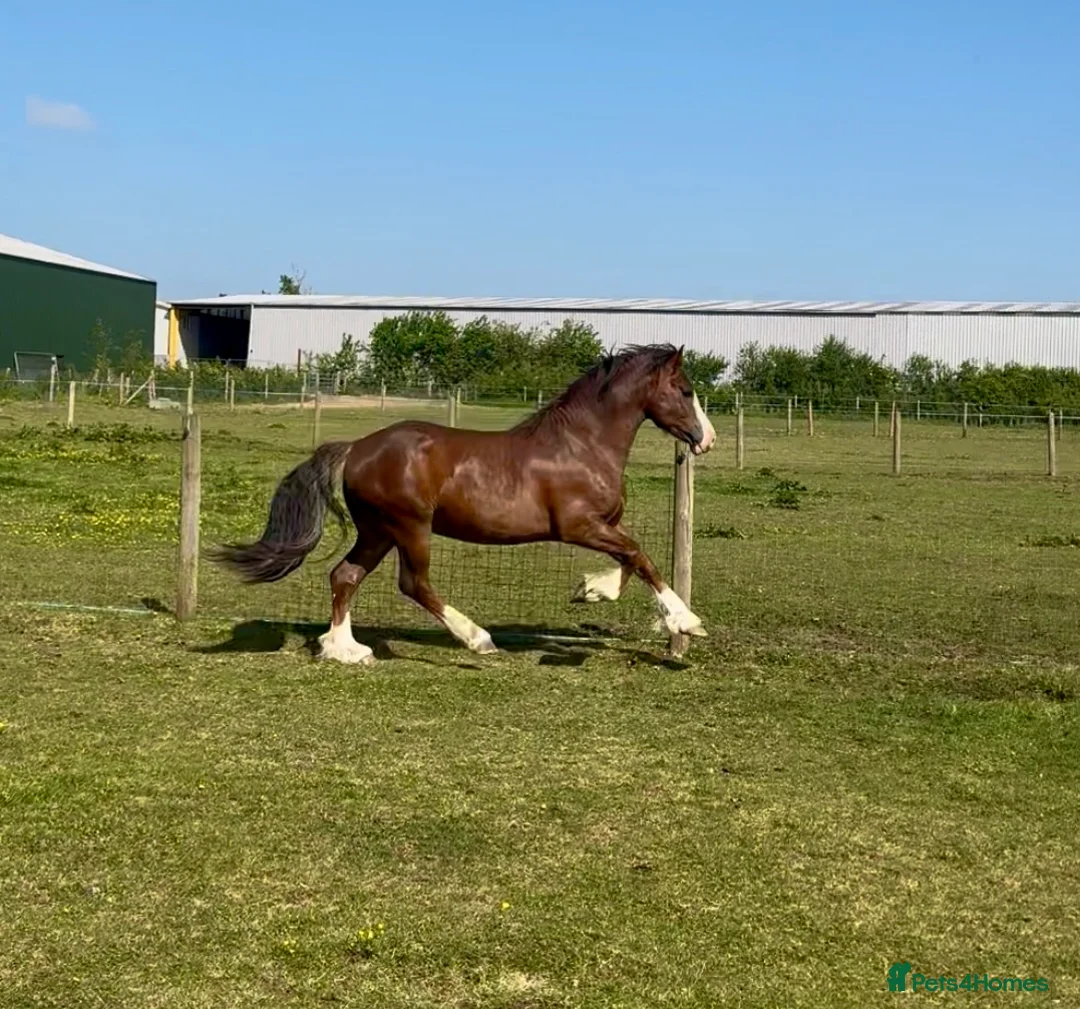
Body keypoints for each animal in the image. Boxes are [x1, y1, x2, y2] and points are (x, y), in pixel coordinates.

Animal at [210, 343, 717, 665]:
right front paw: (688, 623)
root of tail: (356, 448)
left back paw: (345, 650)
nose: (706, 439)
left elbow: (630, 560)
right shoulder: (578, 526)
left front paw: (591, 590)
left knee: (345, 575)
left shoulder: (605, 524)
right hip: (409, 527)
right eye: (686, 391)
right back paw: (477, 639)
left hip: (377, 531)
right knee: (413, 584)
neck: (583, 445)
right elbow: (640, 555)